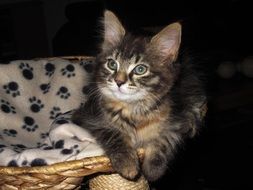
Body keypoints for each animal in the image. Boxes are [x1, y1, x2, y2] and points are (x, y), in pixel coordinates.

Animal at [71, 10, 206, 181]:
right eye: (112, 64)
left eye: (140, 69)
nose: (119, 81)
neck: (133, 109)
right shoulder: (88, 116)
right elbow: (112, 133)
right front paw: (127, 164)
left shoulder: (177, 118)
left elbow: (165, 138)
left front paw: (154, 168)